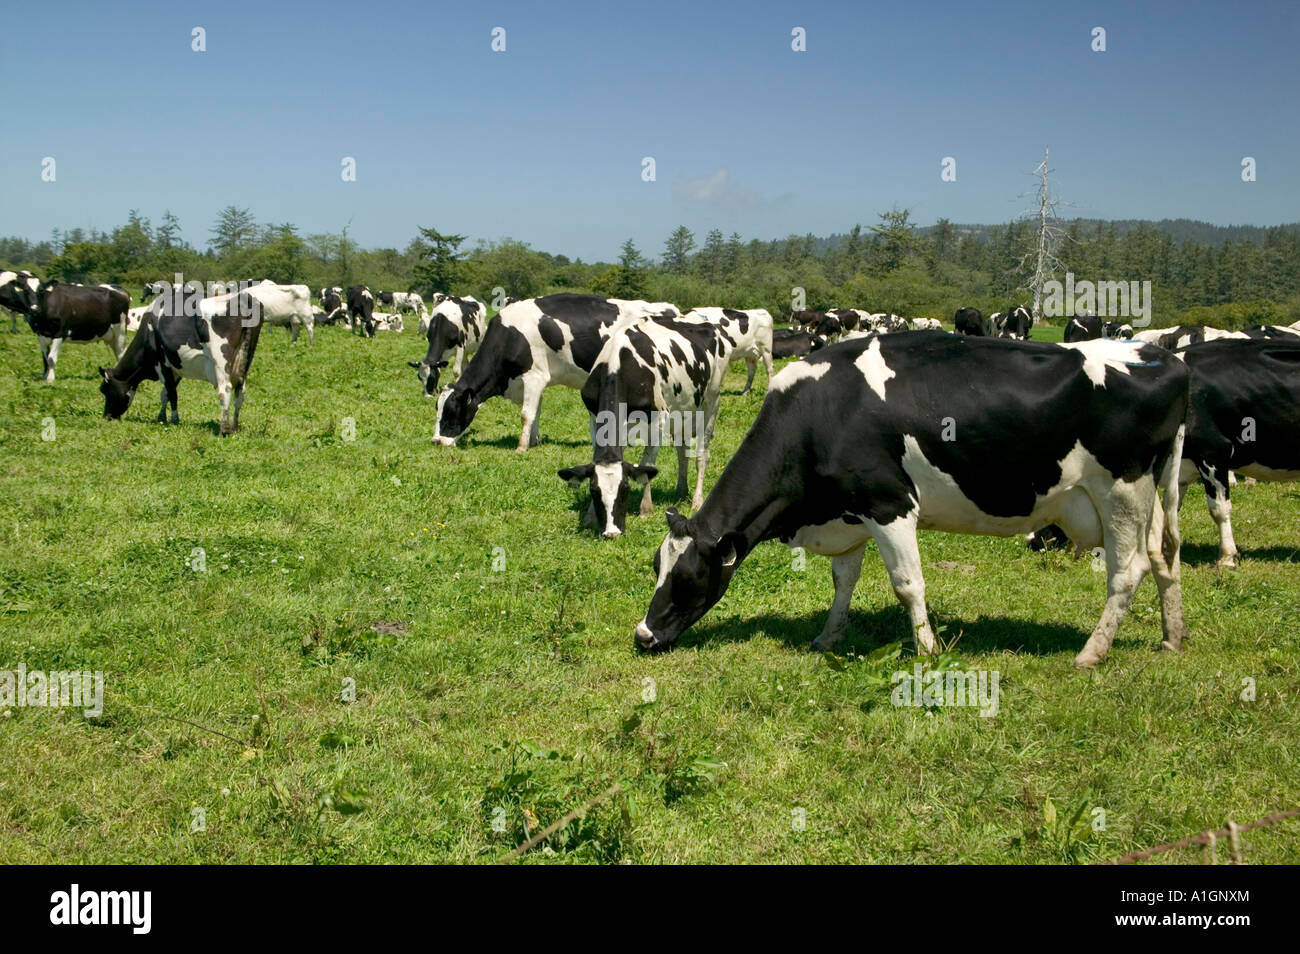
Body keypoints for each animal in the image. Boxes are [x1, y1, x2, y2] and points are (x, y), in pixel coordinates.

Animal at [99, 290, 262, 435]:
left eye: (104, 390)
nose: (106, 416)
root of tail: (242, 297)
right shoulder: (176, 366)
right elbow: (165, 393)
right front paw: (161, 417)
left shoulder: (162, 363)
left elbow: (171, 392)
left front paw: (174, 419)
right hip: (245, 360)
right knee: (240, 391)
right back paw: (235, 427)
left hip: (221, 362)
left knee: (225, 390)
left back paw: (224, 429)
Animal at [432, 294, 681, 452]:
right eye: (437, 410)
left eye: (452, 411)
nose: (436, 441)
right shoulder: (535, 382)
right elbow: (536, 412)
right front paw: (533, 441)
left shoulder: (534, 376)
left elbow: (526, 414)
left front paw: (521, 447)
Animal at [557, 315, 730, 538]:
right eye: (594, 491)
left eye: (625, 489)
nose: (612, 533)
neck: (618, 365)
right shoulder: (594, 418)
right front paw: (590, 515)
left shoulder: (659, 421)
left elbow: (647, 464)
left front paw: (645, 509)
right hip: (681, 414)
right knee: (682, 452)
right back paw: (681, 490)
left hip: (710, 404)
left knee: (702, 455)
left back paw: (697, 501)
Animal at [633, 332, 1191, 671]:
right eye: (656, 567)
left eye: (687, 577)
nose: (642, 635)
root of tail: (1163, 358)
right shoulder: (851, 514)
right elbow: (843, 581)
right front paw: (828, 637)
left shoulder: (890, 505)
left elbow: (907, 585)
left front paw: (926, 651)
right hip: (1152, 495)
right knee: (1165, 557)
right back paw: (1172, 636)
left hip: (1121, 491)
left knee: (1129, 570)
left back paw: (1092, 652)